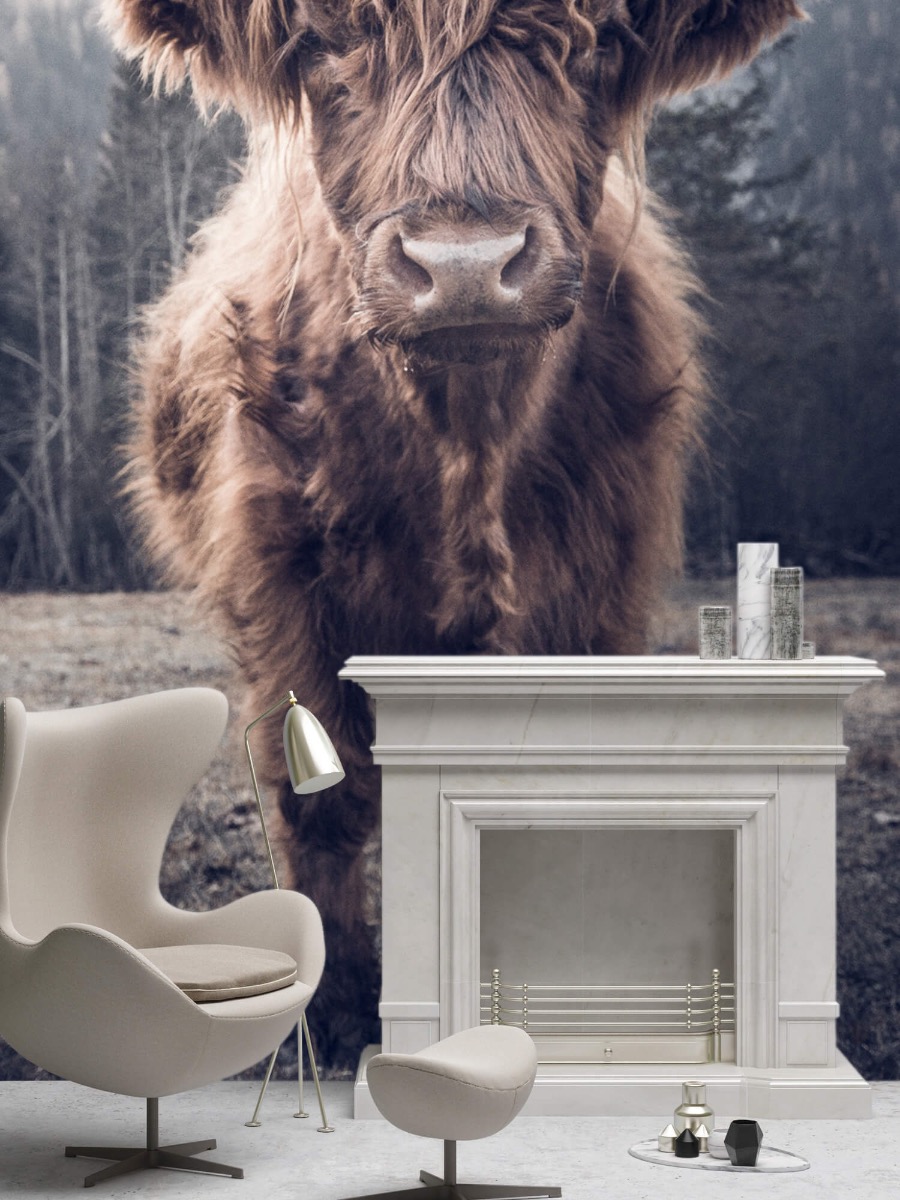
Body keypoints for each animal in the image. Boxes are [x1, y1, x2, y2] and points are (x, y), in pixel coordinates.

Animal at [103, 0, 801, 1070]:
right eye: (324, 49)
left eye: (598, 46)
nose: (466, 269)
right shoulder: (285, 585)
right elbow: (323, 797)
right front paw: (335, 1012)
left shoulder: (598, 591)